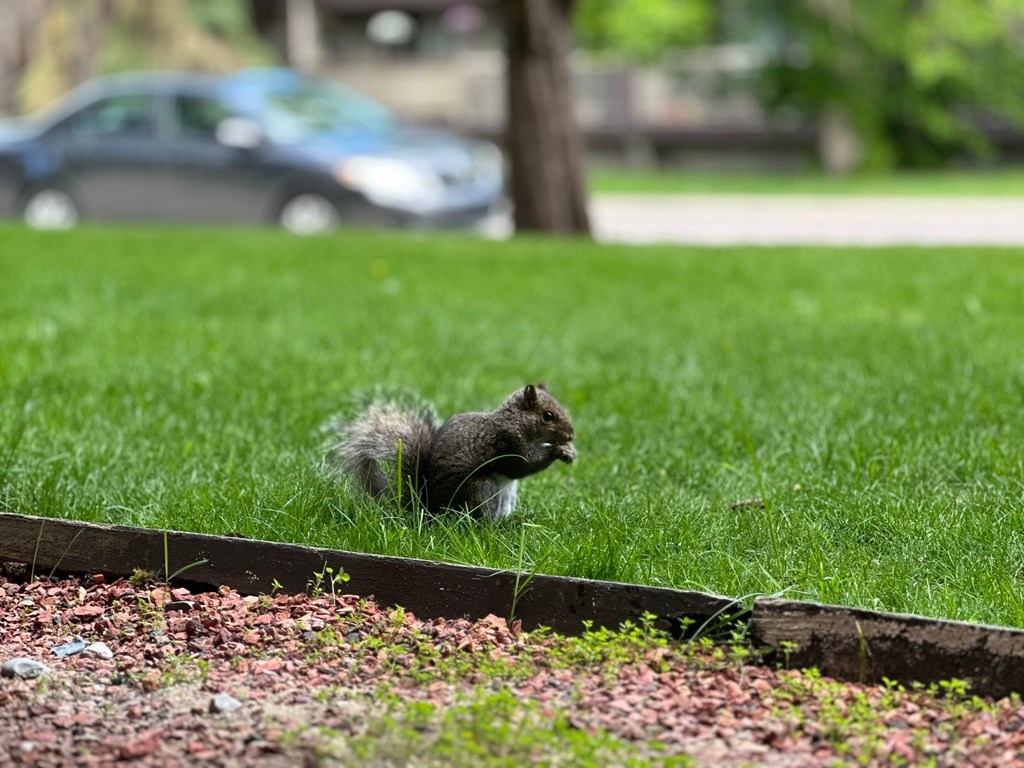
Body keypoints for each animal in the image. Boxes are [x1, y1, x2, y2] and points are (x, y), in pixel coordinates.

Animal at [330, 384, 576, 521]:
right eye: (547, 416)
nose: (571, 435)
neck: (515, 420)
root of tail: (430, 508)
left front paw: (569, 451)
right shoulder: (509, 443)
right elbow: (523, 465)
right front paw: (558, 451)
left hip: (508, 494)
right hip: (480, 487)